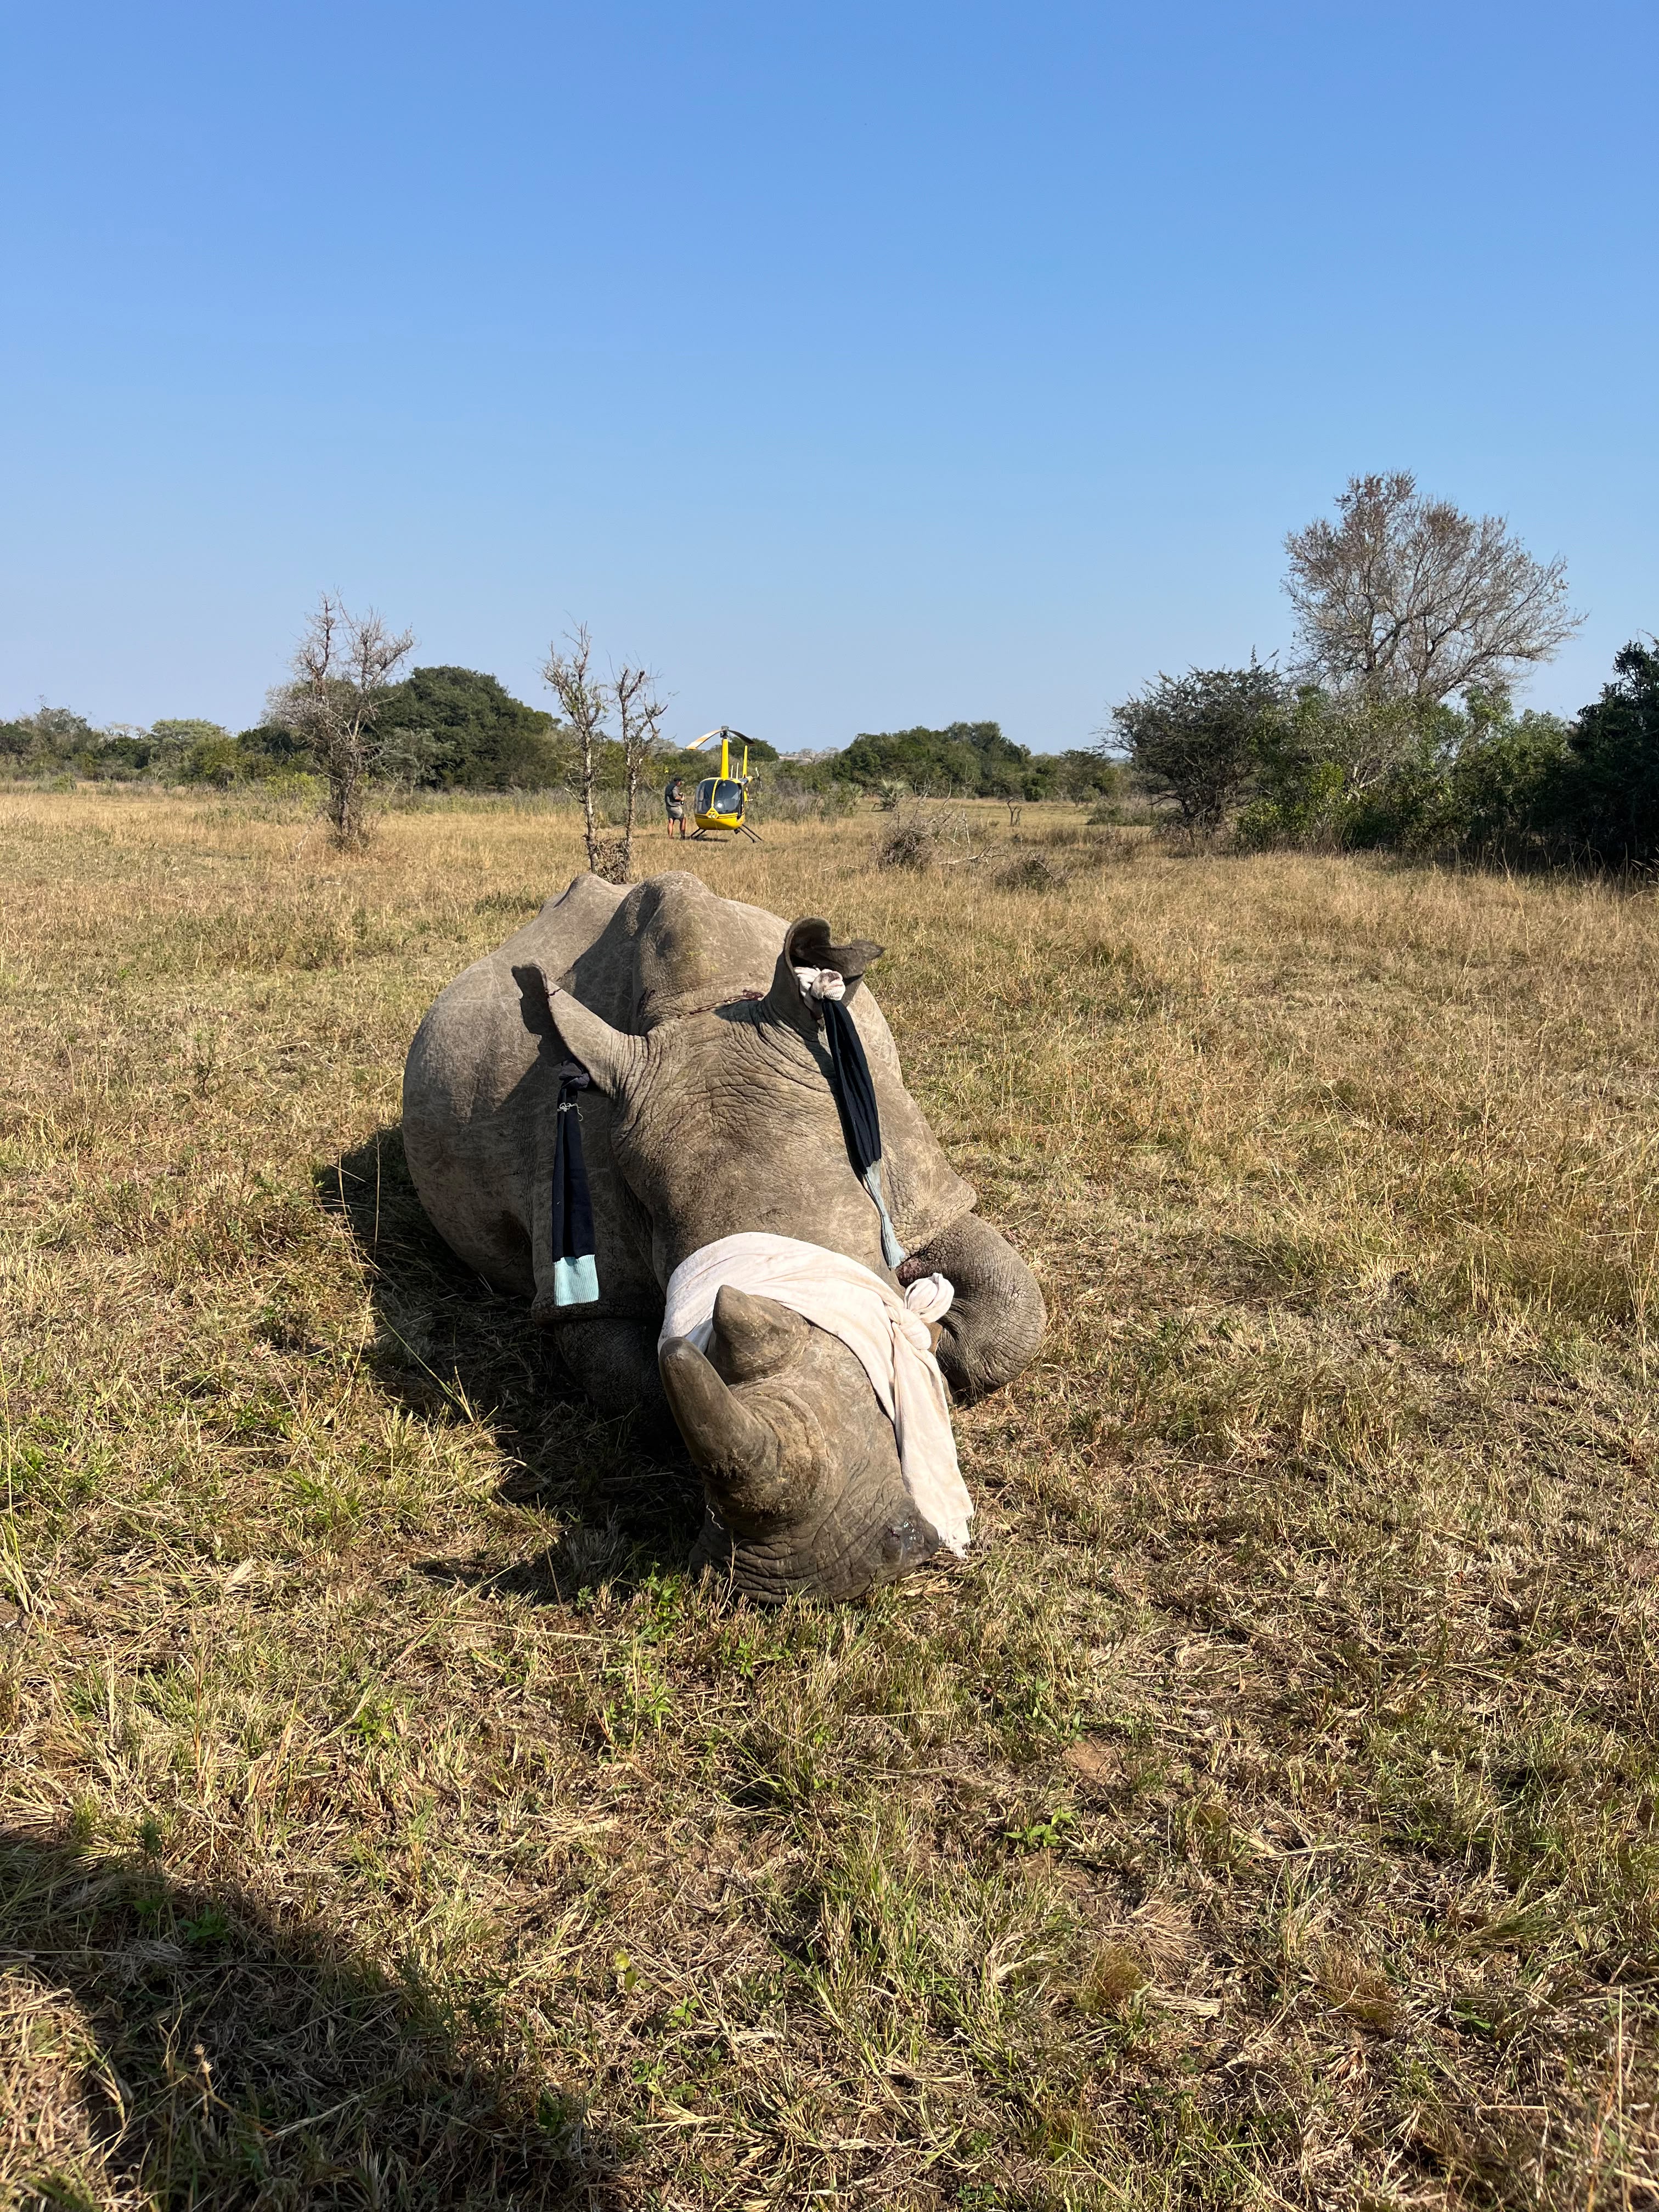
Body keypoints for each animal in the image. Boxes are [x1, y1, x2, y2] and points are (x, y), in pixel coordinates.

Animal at [401, 870, 1044, 1599]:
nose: (814, 1578)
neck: (702, 1013)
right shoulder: (589, 1270)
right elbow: (638, 1385)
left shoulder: (917, 1174)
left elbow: (1011, 1317)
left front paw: (936, 1336)